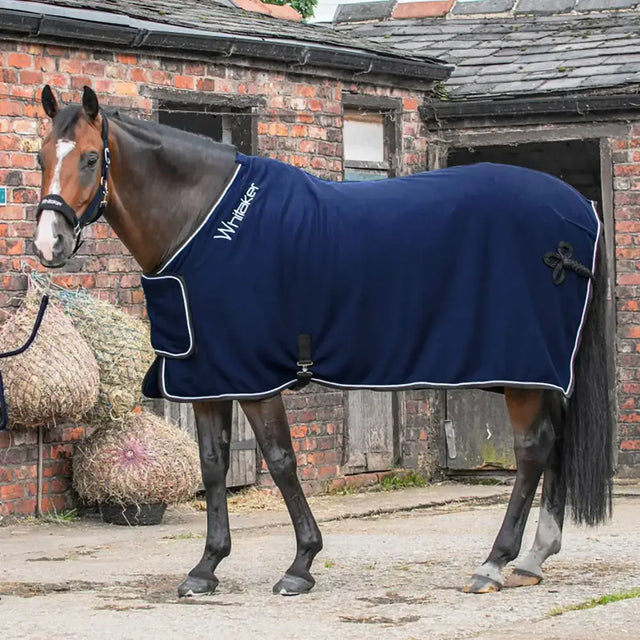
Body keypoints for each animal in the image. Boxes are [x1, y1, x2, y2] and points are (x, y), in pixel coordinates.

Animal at [32, 85, 613, 597]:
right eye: (39, 157)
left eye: (90, 158)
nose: (49, 244)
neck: (201, 224)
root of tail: (579, 210)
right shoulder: (207, 377)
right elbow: (213, 466)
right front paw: (206, 568)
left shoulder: (254, 378)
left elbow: (281, 460)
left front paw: (301, 564)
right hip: (541, 374)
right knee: (555, 444)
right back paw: (533, 559)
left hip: (524, 372)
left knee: (532, 451)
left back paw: (493, 563)